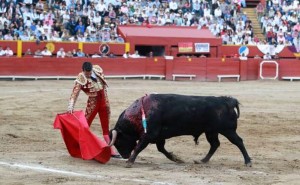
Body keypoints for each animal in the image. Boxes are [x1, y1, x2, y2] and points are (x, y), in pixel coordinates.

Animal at [109, 94, 252, 168]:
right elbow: (162, 149)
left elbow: (139, 147)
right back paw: (202, 160)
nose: (124, 156)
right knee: (215, 144)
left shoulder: (149, 135)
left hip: (228, 130)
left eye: (119, 142)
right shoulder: (158, 137)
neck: (139, 113)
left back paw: (248, 162)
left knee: (238, 142)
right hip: (211, 131)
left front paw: (129, 162)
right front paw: (176, 159)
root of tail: (228, 100)